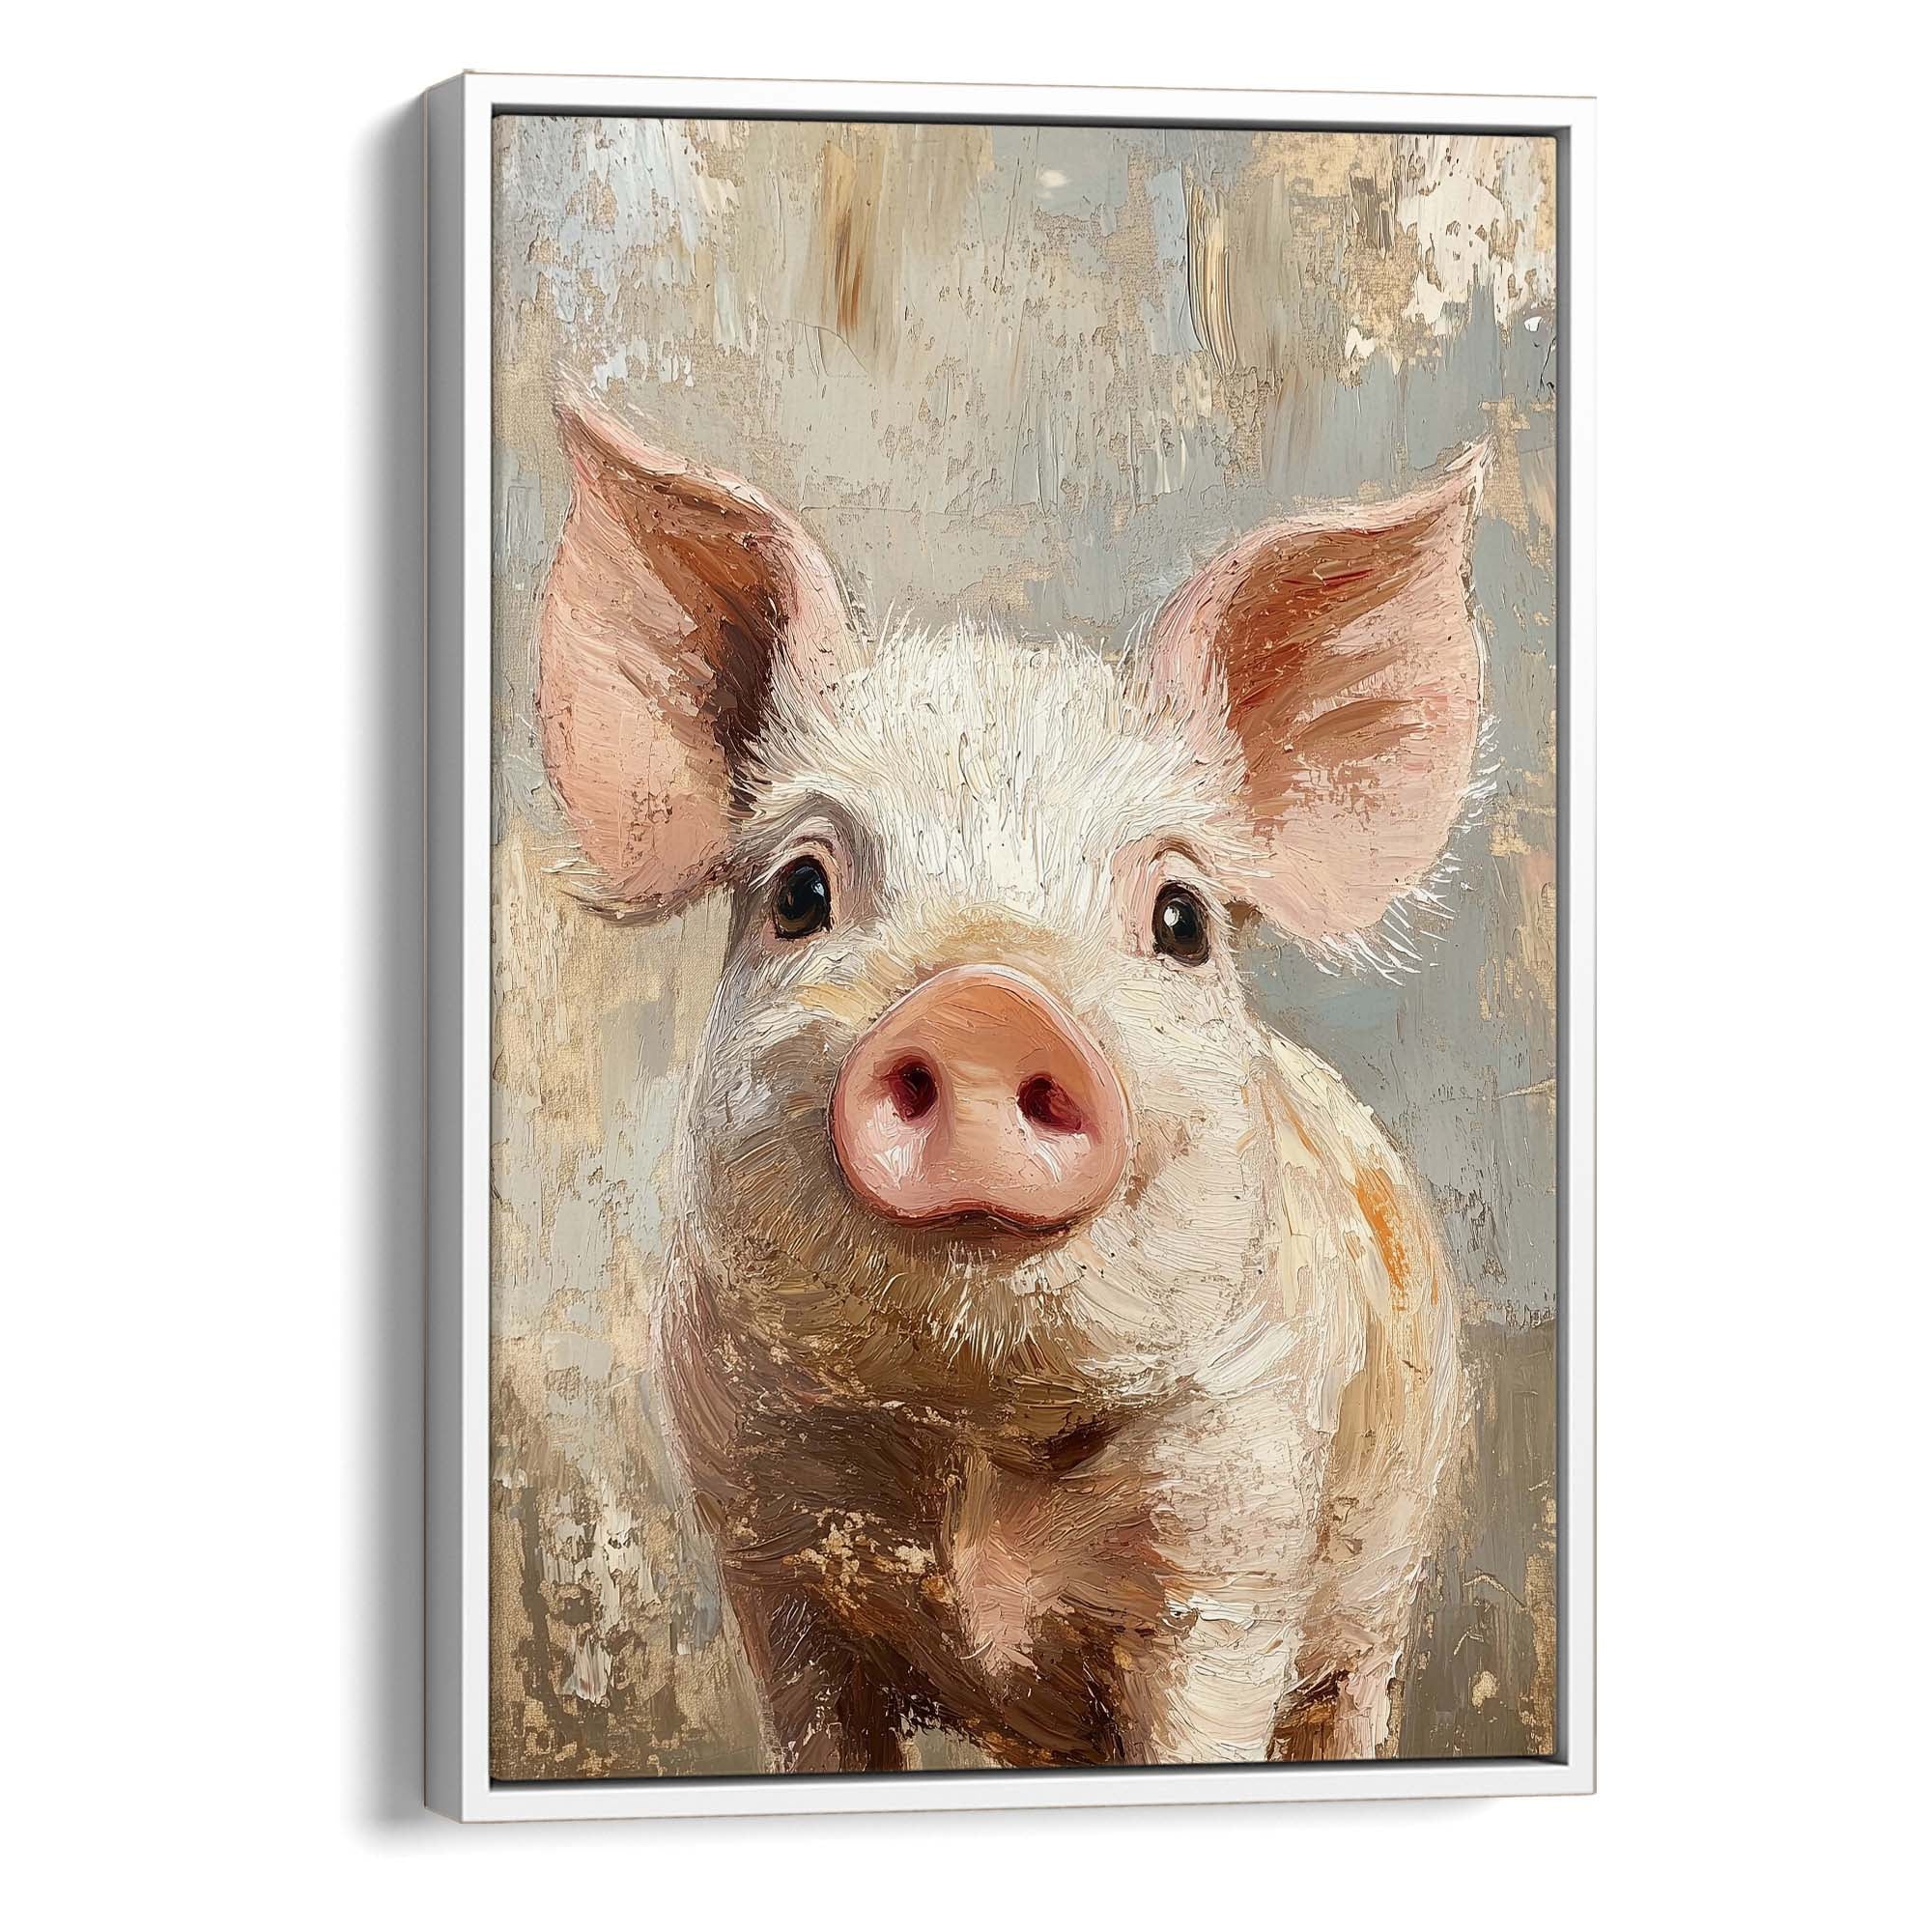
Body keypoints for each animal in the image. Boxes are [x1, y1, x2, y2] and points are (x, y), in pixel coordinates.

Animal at [536, 398, 1480, 1772]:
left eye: (1182, 918)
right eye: (799, 891)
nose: (985, 1004)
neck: (975, 1443)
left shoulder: (1233, 1562)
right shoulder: (767, 1557)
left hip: (1375, 1600)